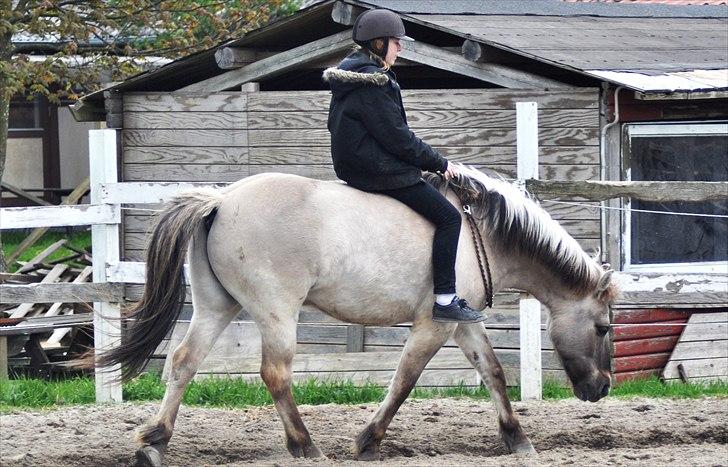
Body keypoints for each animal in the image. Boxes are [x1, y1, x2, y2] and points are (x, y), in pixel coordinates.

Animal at [88, 165, 616, 464]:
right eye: (603, 326)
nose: (603, 389)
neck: (478, 232)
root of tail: (219, 200)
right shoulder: (435, 323)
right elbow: (404, 379)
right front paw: (368, 441)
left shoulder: (460, 323)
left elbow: (493, 373)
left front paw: (516, 438)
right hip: (277, 314)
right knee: (275, 374)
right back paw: (304, 445)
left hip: (216, 307)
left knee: (183, 363)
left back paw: (155, 440)